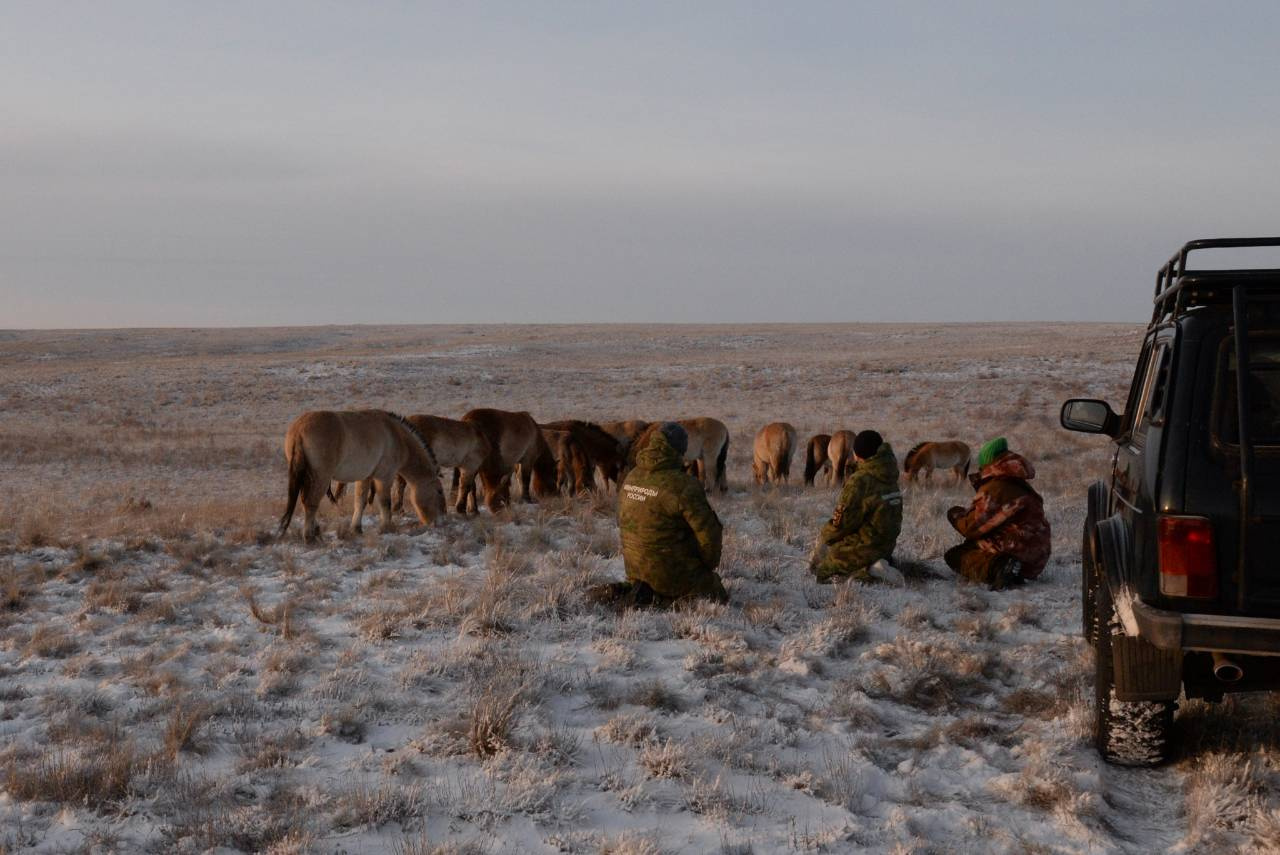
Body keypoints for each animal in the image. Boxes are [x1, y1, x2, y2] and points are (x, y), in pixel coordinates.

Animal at [276, 409, 445, 540]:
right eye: (438, 491)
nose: (440, 522)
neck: (396, 435)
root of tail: (299, 430)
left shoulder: (365, 477)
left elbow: (360, 501)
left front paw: (356, 528)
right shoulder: (384, 477)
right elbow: (385, 502)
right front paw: (387, 527)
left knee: (306, 501)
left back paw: (315, 530)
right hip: (321, 477)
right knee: (310, 503)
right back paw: (309, 536)